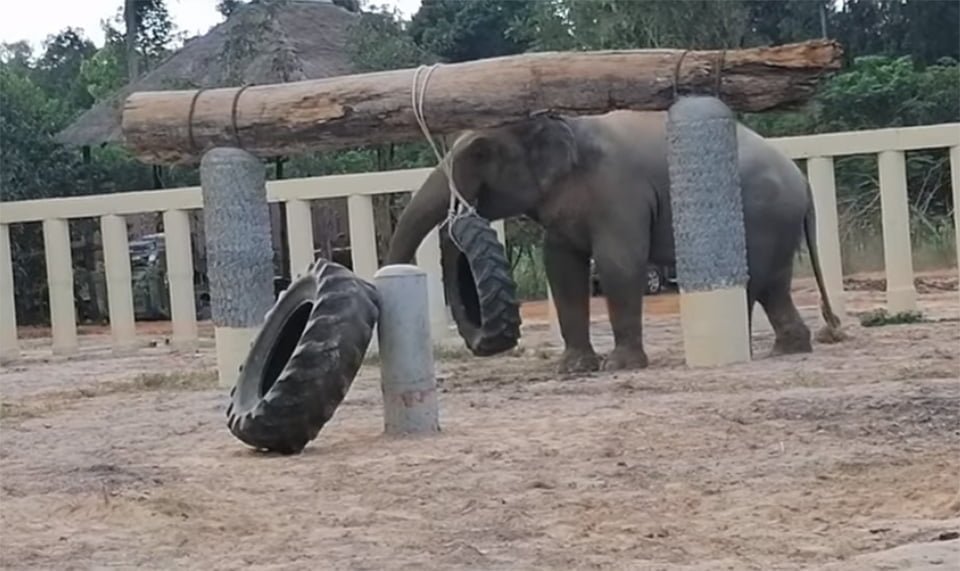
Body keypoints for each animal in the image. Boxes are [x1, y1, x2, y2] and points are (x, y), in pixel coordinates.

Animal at [382, 109, 840, 374]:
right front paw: (573, 370)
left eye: (478, 152)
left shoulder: (619, 189)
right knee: (773, 285)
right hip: (776, 223)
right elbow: (561, 268)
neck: (564, 122)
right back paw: (786, 350)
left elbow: (619, 262)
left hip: (764, 216)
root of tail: (802, 180)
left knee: (756, 282)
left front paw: (619, 367)